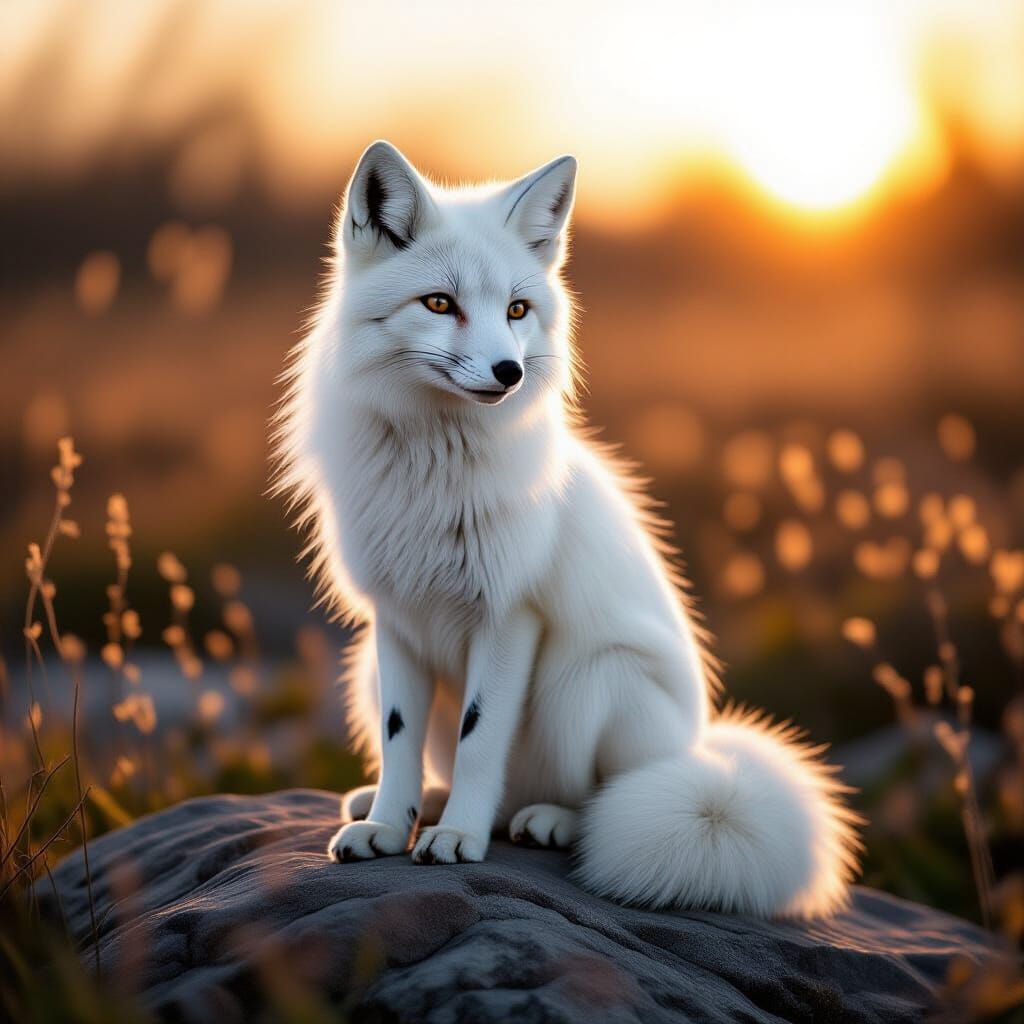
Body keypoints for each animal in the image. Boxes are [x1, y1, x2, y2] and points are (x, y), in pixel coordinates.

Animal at [272, 140, 862, 917]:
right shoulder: (395, 618)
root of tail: (697, 747)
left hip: (594, 681)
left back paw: (539, 820)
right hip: (364, 675)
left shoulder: (510, 615)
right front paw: (391, 826)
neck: (432, 467)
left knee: (598, 800)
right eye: (440, 303)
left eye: (518, 309)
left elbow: (480, 740)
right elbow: (402, 743)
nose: (509, 371)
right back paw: (415, 803)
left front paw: (457, 839)